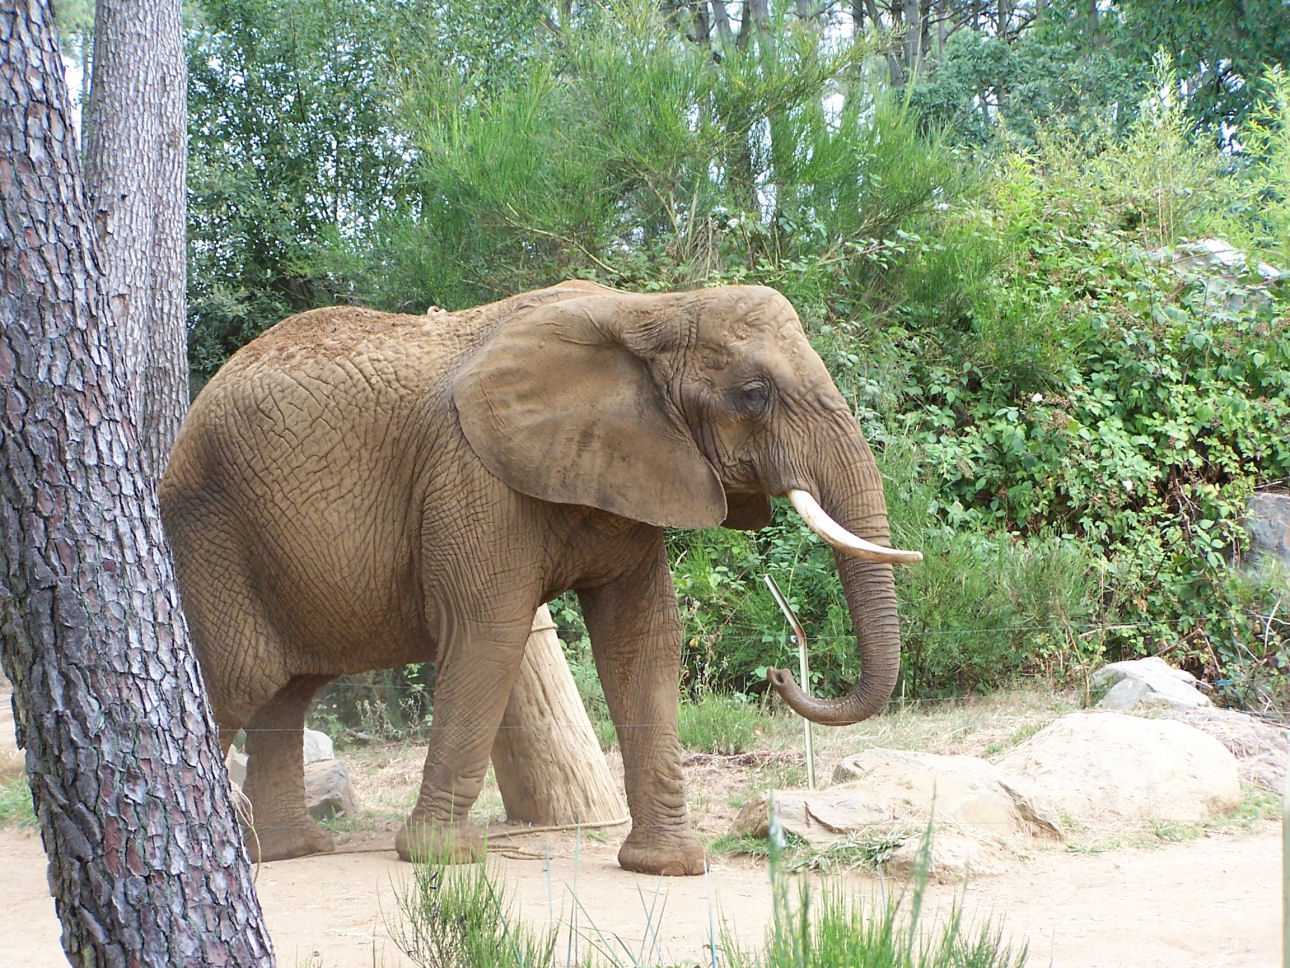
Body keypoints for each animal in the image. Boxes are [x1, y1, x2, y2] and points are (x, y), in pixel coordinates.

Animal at [158, 280, 918, 877]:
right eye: (753, 395)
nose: (781, 674)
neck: (654, 309)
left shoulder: (635, 466)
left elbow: (642, 639)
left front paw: (669, 866)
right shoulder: (471, 476)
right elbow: (486, 634)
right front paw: (442, 858)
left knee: (288, 691)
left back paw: (293, 851)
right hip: (207, 527)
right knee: (240, 678)